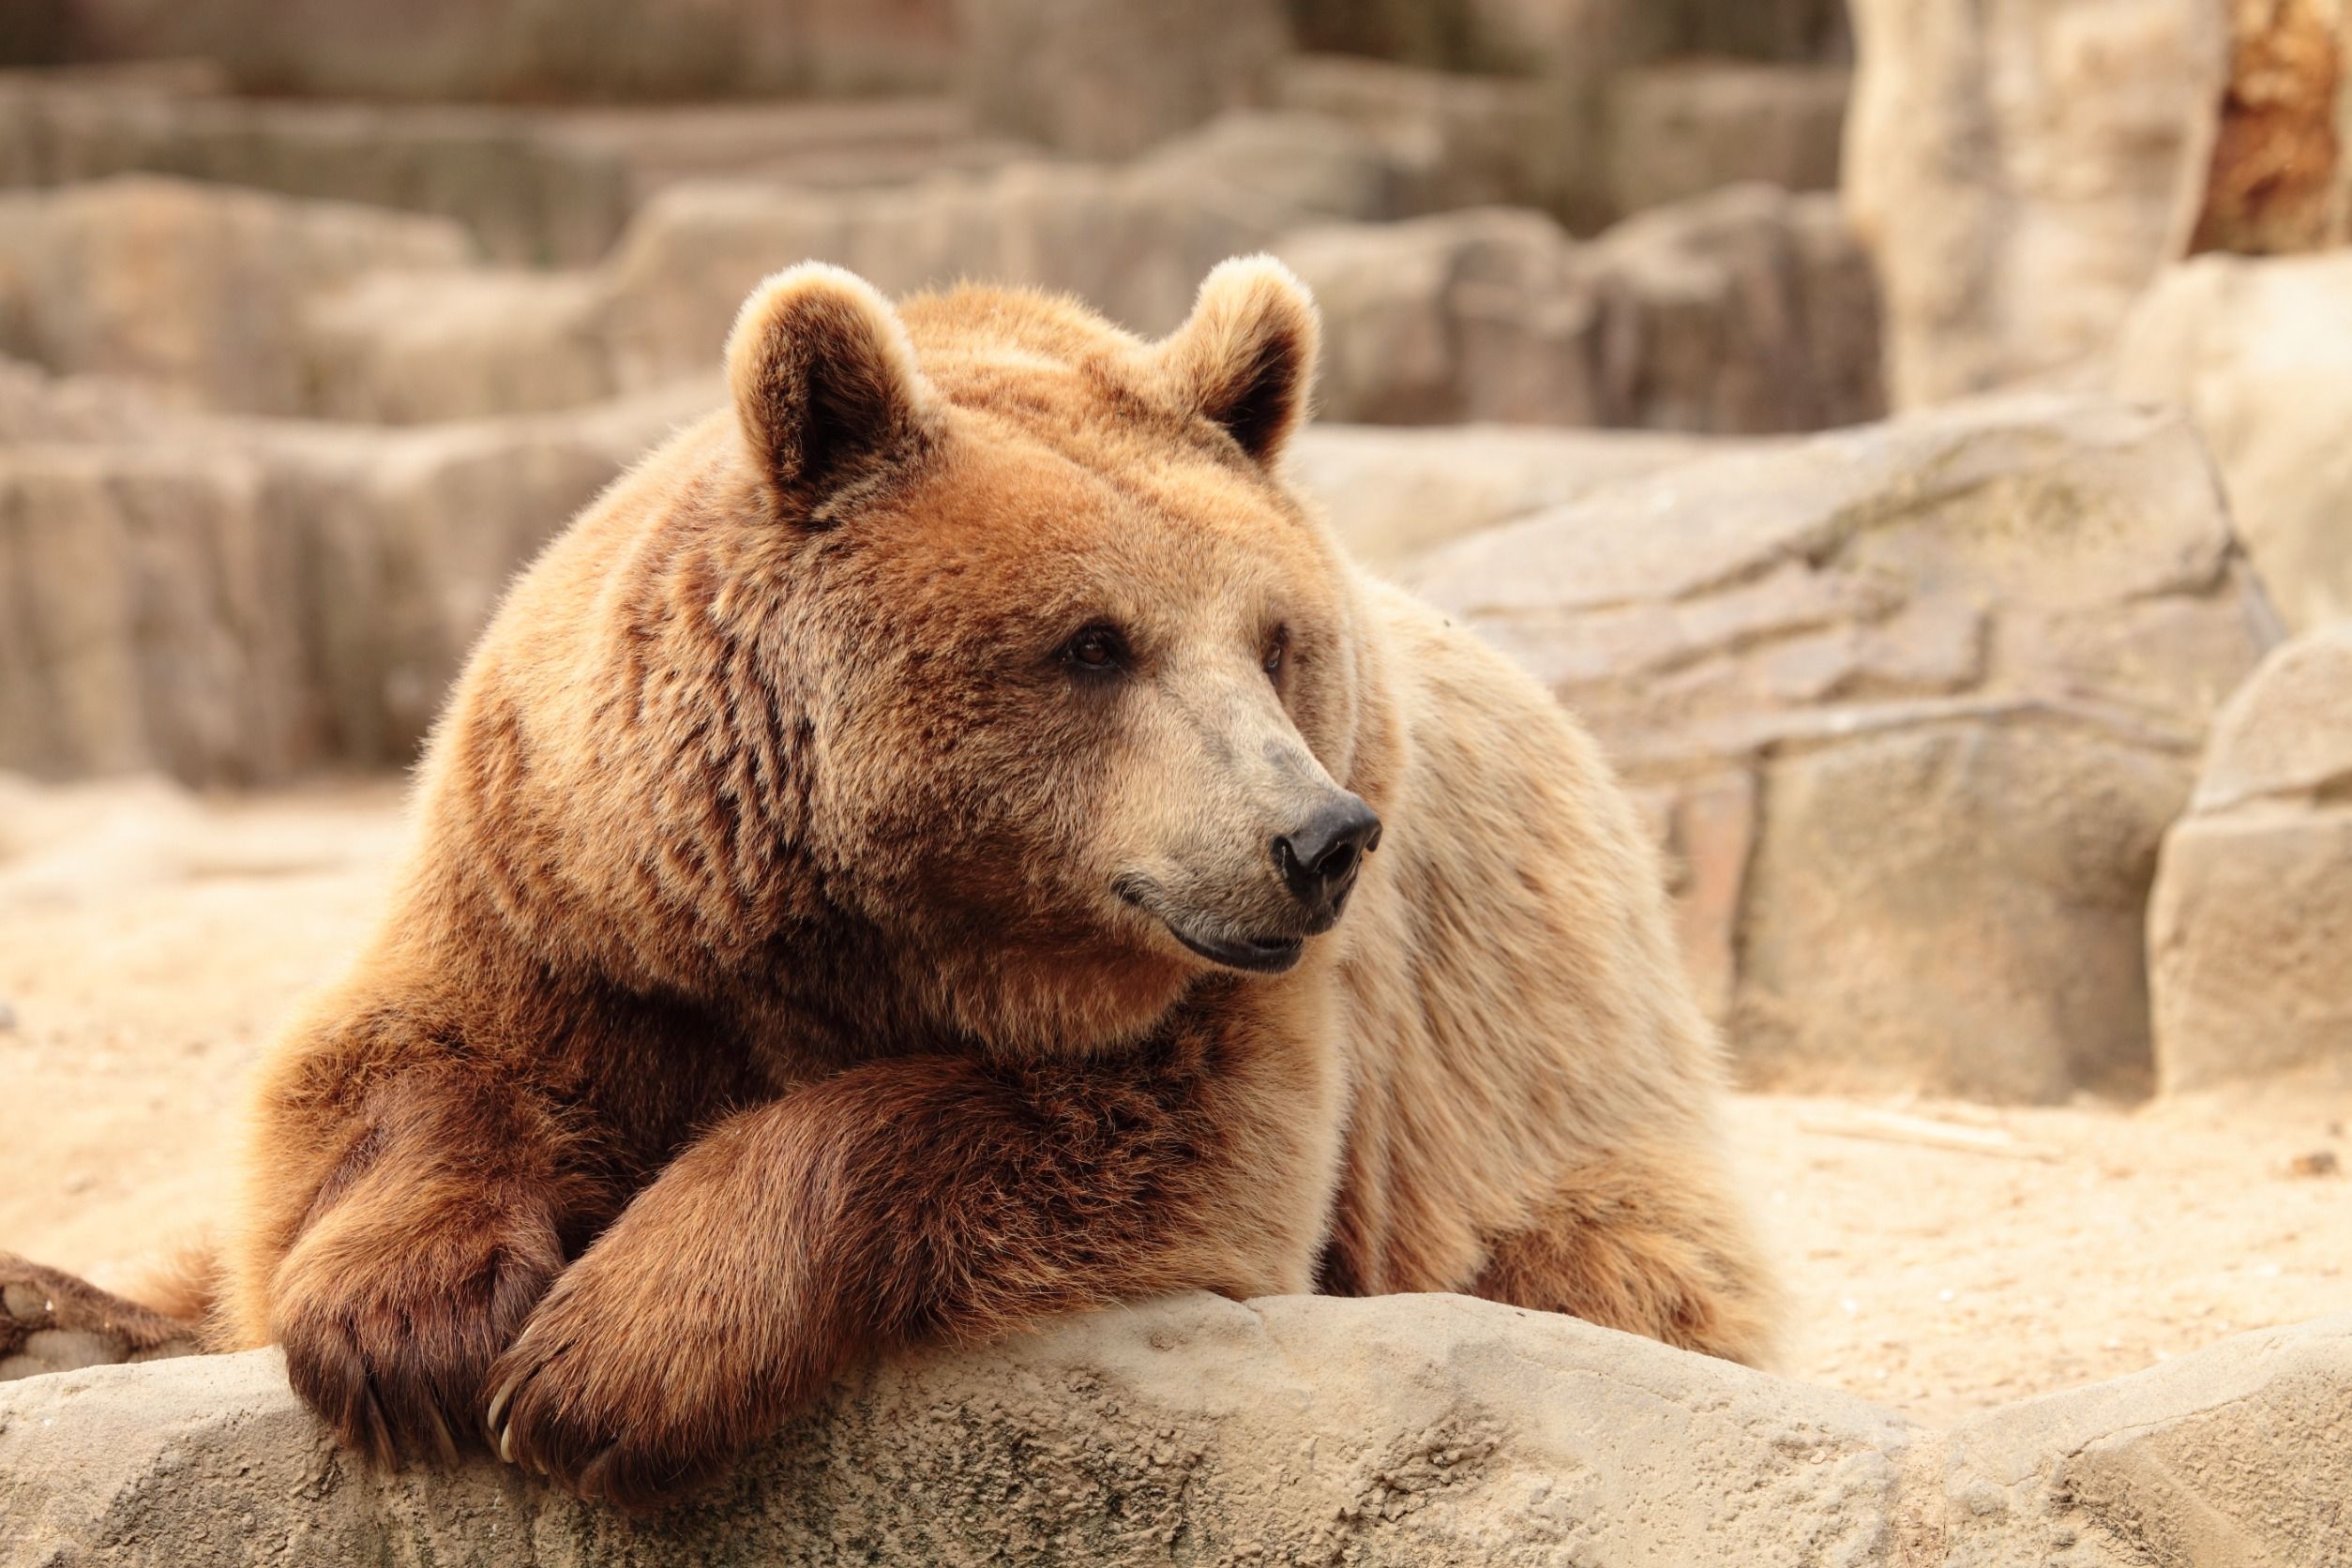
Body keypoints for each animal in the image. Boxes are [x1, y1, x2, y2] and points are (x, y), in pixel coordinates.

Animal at [4, 257, 1769, 1504]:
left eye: (1276, 640)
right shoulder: (575, 869)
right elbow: (395, 1061)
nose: (1317, 837)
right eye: (1092, 643)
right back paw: (56, 1310)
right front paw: (406, 1330)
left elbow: (1093, 1144)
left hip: (1562, 1130)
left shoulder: (1234, 1024)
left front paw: (604, 1354)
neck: (862, 922)